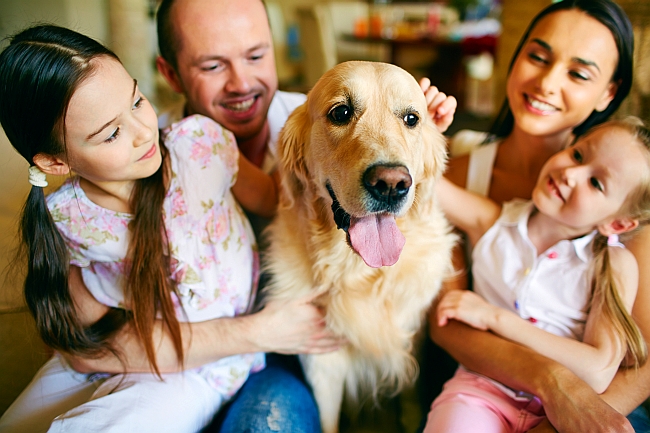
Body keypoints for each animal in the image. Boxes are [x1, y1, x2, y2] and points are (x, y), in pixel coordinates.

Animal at [260, 60, 454, 432]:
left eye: (412, 118)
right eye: (341, 112)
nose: (391, 184)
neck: (358, 273)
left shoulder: (411, 342)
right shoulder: (323, 366)